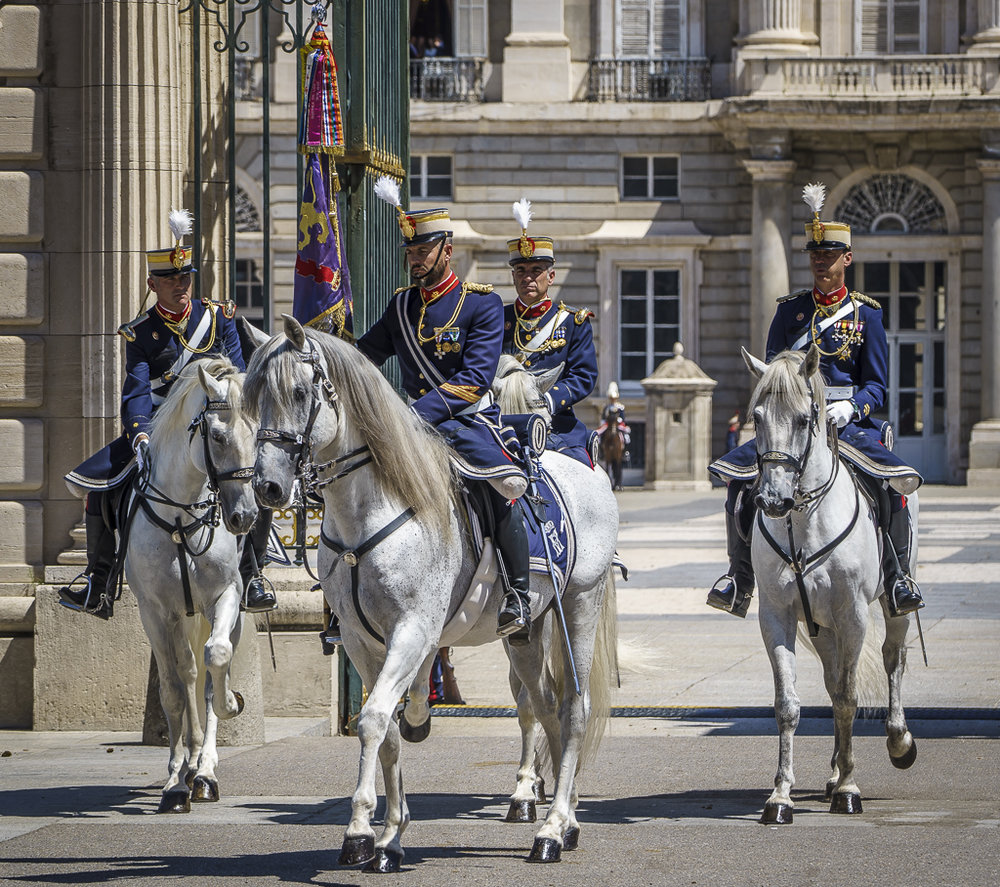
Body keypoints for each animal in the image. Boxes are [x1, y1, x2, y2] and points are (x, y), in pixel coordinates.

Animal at [126, 358, 258, 816]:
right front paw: (173, 783)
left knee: (204, 668)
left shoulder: (226, 597)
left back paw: (203, 770)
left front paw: (231, 704)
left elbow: (217, 659)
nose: (244, 517)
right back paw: (187, 766)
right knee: (184, 672)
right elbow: (171, 688)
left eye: (261, 434)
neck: (182, 518)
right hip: (175, 618)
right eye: (216, 436)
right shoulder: (153, 611)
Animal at [244, 318, 616, 876]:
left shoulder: (413, 629)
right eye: (254, 397)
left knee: (574, 708)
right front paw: (388, 836)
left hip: (580, 604)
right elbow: (389, 728)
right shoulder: (361, 640)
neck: (370, 511)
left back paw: (550, 831)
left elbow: (374, 720)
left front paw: (359, 829)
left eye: (299, 392)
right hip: (528, 630)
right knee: (543, 706)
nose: (267, 487)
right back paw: (563, 817)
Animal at [748, 346, 916, 824]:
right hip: (821, 627)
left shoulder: (853, 614)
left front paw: (849, 788)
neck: (805, 520)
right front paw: (780, 796)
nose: (773, 500)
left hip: (890, 605)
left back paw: (898, 741)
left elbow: (847, 699)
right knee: (830, 674)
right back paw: (834, 768)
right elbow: (789, 704)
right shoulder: (777, 615)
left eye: (806, 419)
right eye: (756, 417)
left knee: (892, 658)